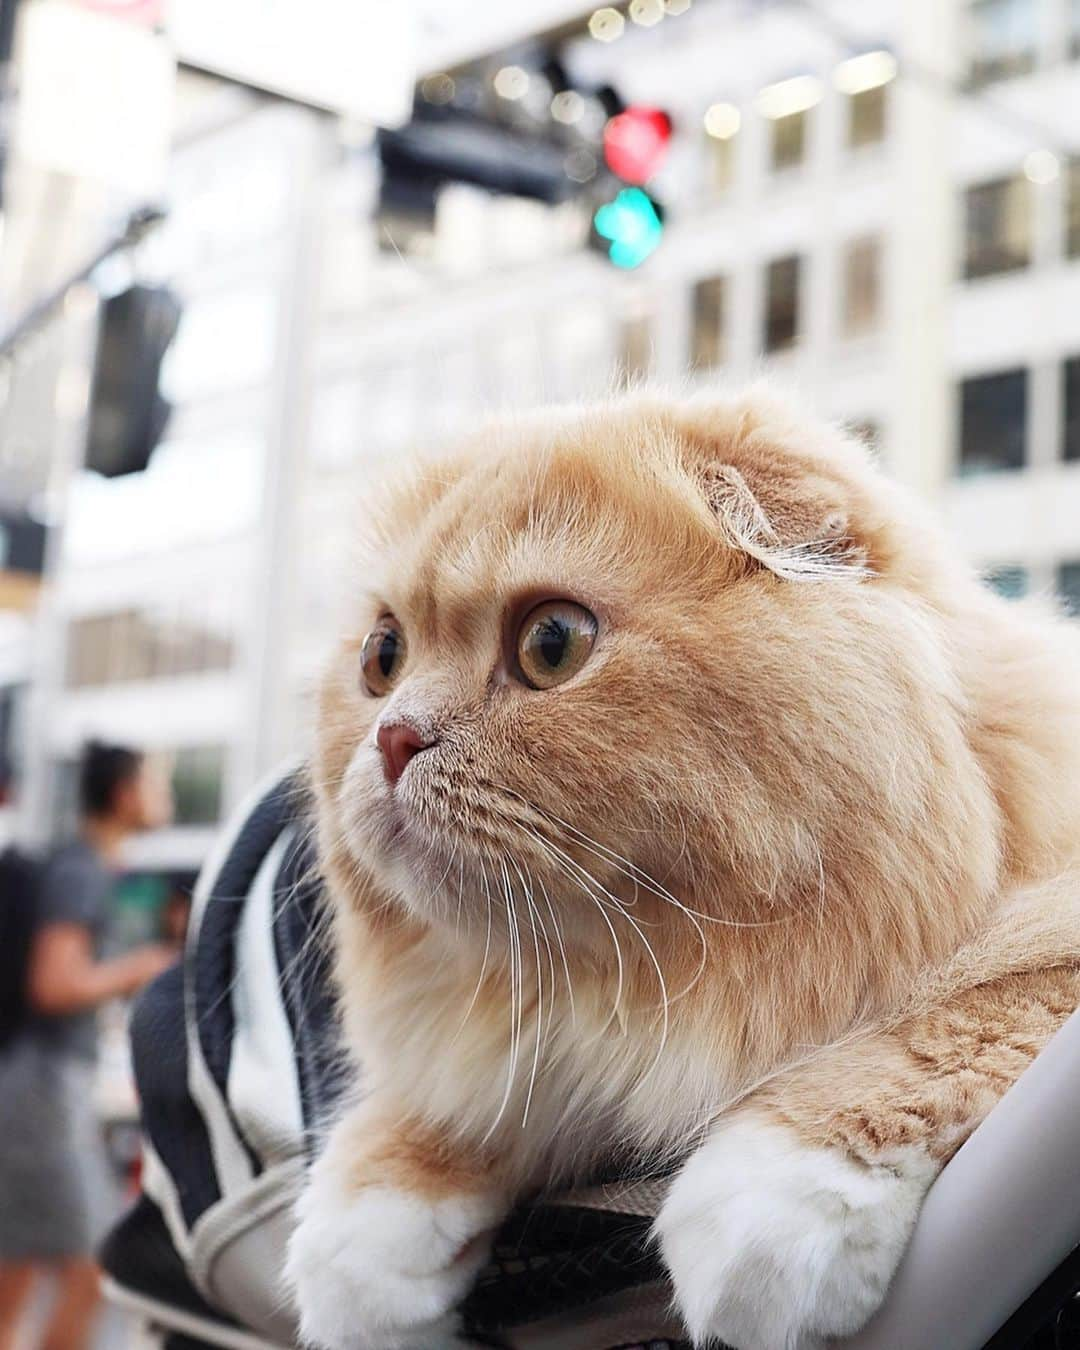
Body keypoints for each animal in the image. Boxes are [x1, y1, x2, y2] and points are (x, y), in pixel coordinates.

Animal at [284, 391, 1080, 1350]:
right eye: (383, 658)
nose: (393, 738)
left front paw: (775, 1198)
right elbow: (431, 1111)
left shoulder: (1039, 943)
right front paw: (365, 1239)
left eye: (552, 643)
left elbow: (969, 1011)